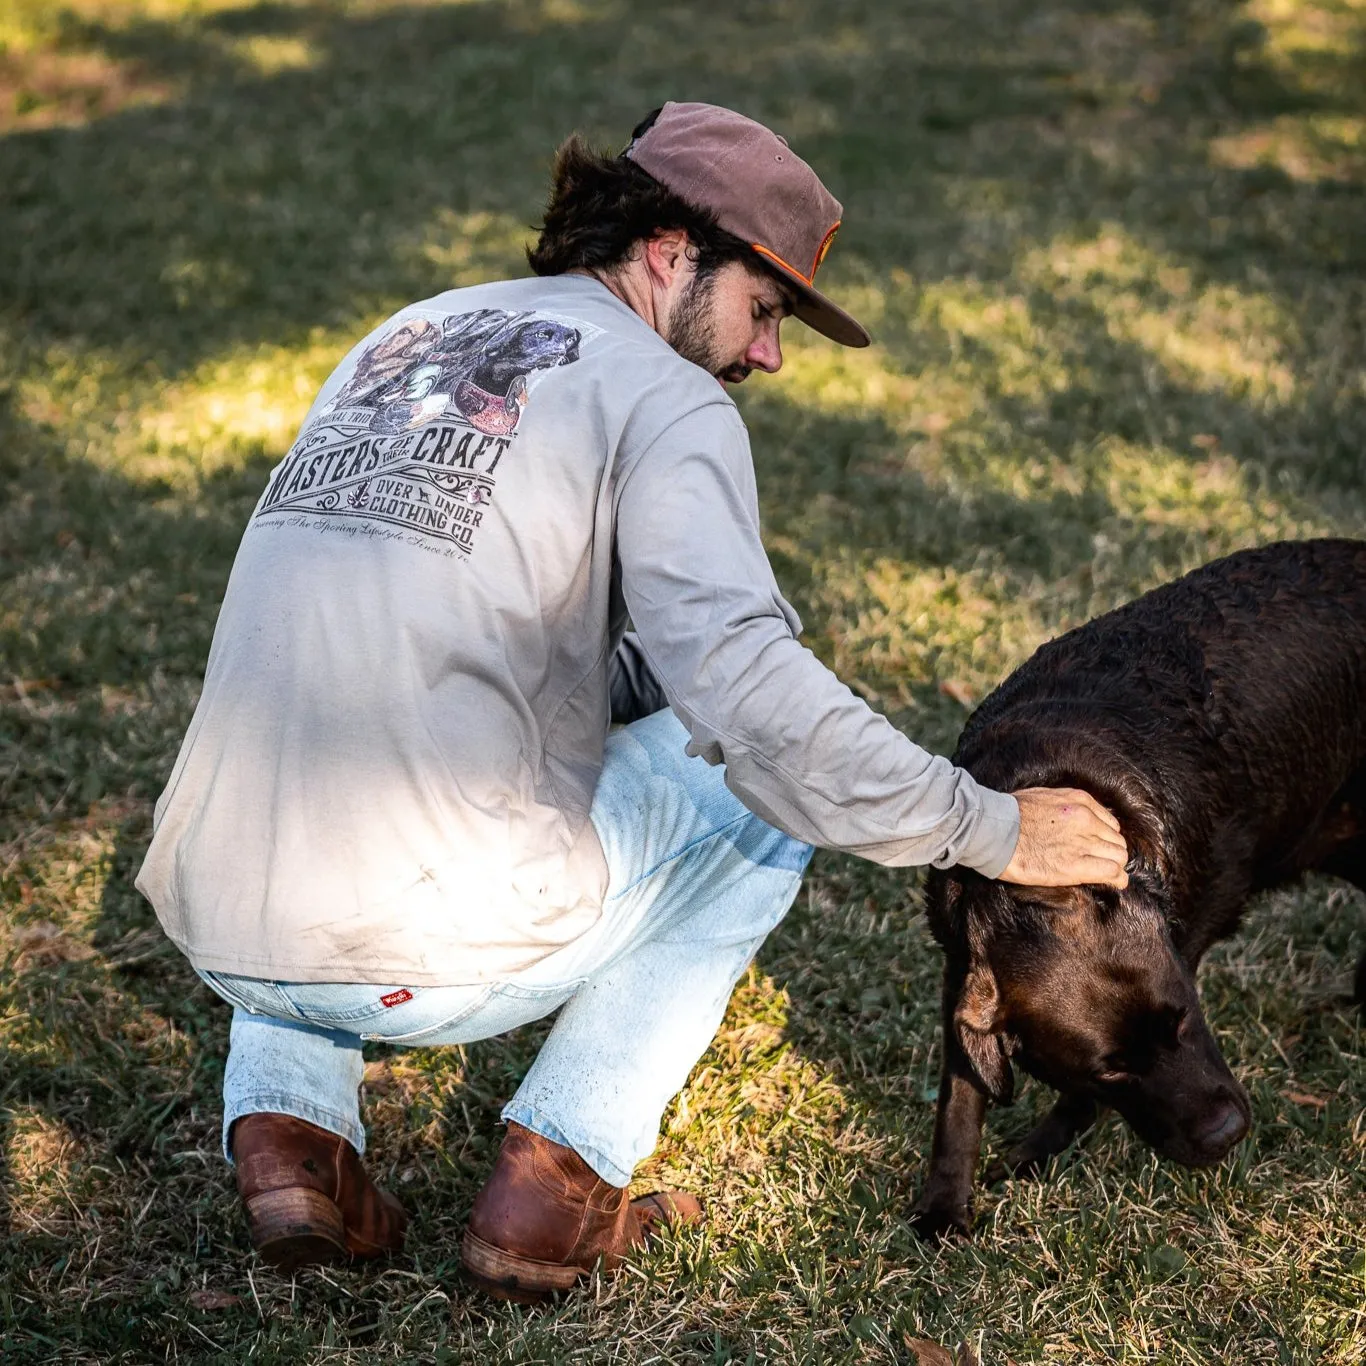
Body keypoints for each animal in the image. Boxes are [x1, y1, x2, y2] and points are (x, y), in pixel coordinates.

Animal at [907, 535, 1366, 1240]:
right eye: (1113, 1068)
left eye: (1185, 1015)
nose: (1228, 1134)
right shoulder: (960, 973)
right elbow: (960, 1096)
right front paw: (943, 1206)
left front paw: (1035, 1154)